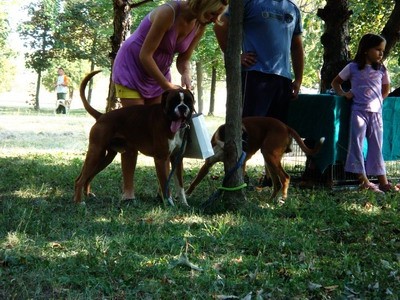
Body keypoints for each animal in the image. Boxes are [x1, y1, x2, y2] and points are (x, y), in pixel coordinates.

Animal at [75, 70, 195, 206]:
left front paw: (184, 204)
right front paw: (169, 204)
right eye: (173, 101)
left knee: (86, 176)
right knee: (80, 179)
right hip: (96, 152)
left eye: (188, 101)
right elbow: (165, 184)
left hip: (105, 157)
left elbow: (180, 185)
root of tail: (101, 116)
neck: (168, 120)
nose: (182, 107)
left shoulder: (177, 159)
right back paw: (79, 202)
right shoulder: (161, 159)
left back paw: (86, 195)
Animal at [188, 116, 324, 203]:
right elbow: (195, 182)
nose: (245, 145)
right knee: (277, 182)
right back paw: (270, 200)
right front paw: (187, 194)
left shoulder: (241, 163)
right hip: (269, 159)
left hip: (270, 155)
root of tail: (285, 126)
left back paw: (283, 198)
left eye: (246, 136)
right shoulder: (208, 164)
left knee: (285, 177)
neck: (223, 147)